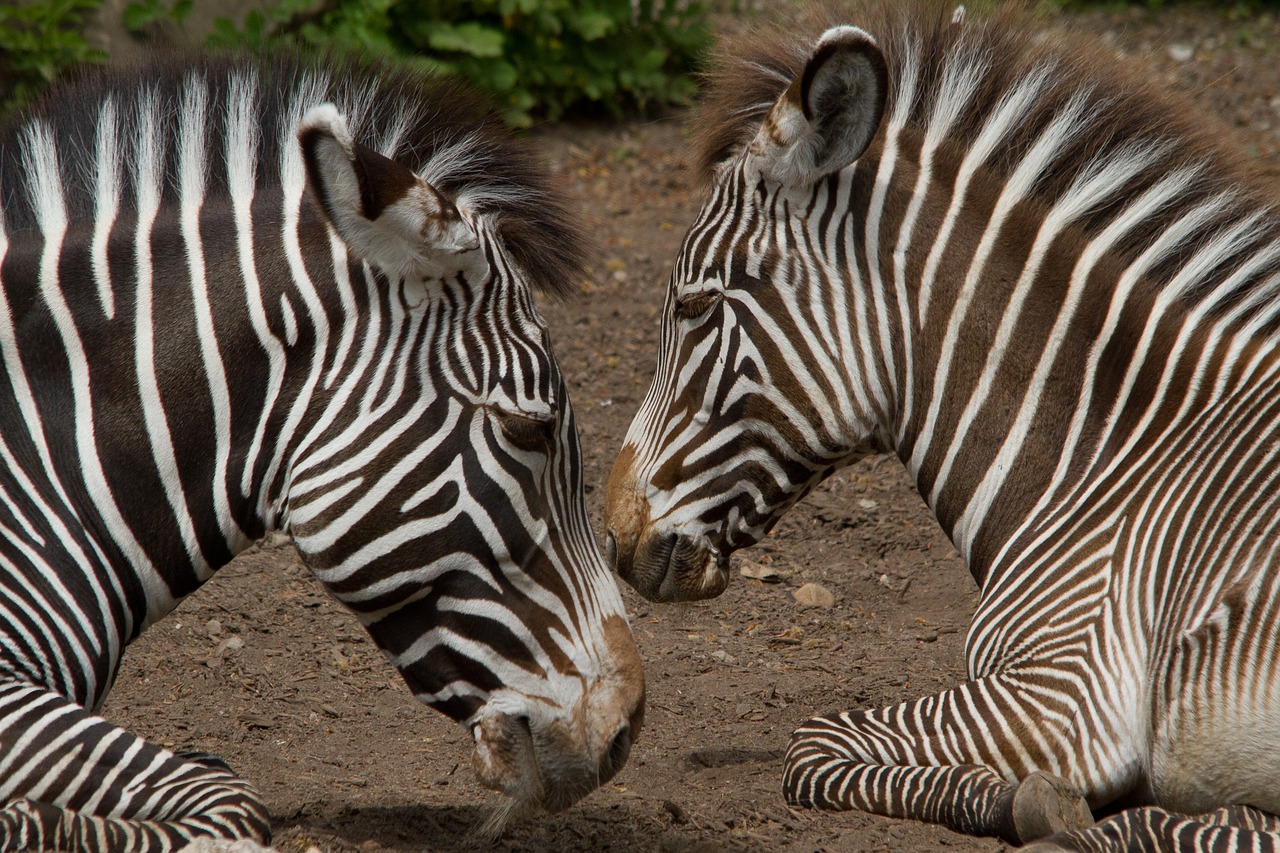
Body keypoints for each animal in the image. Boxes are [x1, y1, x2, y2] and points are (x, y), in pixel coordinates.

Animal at [604, 3, 1280, 845]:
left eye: (696, 305)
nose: (612, 533)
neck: (1114, 452)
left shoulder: (1068, 683)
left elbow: (811, 743)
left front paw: (1019, 799)